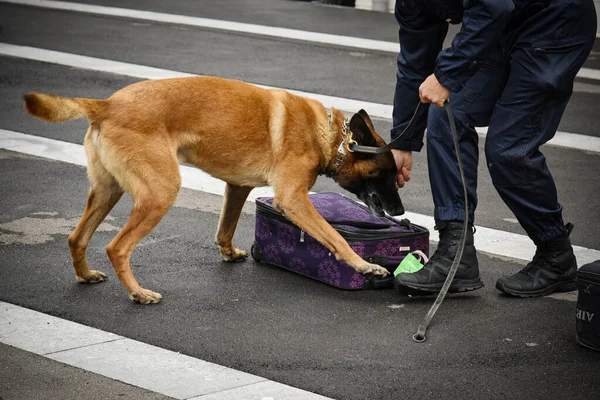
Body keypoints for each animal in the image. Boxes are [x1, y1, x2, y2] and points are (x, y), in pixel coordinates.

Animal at [25, 76, 406, 304]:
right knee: (116, 247)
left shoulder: (237, 187)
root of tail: (106, 105)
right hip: (160, 193)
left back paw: (85, 275)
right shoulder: (293, 200)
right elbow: (335, 236)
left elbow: (226, 227)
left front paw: (228, 252)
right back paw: (138, 294)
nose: (401, 212)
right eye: (388, 173)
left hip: (108, 192)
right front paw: (363, 265)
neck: (329, 136)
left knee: (76, 237)